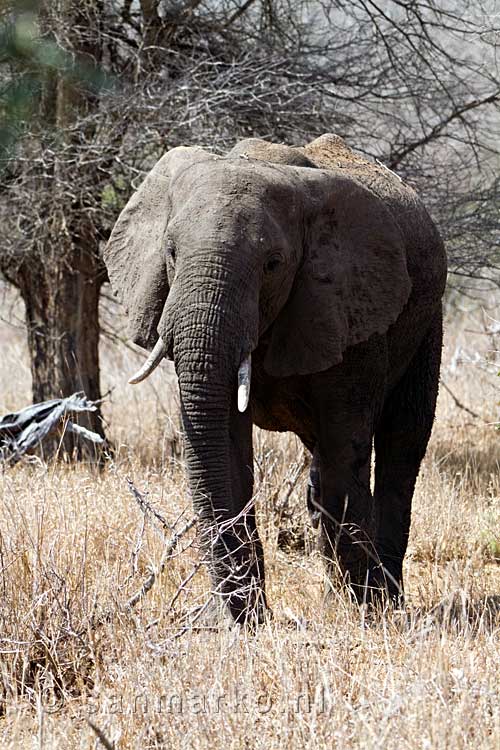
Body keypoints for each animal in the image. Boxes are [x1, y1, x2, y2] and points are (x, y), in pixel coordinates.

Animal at [103, 134, 448, 624]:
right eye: (170, 252)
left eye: (273, 263)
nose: (233, 616)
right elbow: (226, 445)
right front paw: (238, 622)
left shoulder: (348, 312)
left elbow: (346, 450)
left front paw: (361, 615)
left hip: (425, 319)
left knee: (401, 443)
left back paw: (386, 601)